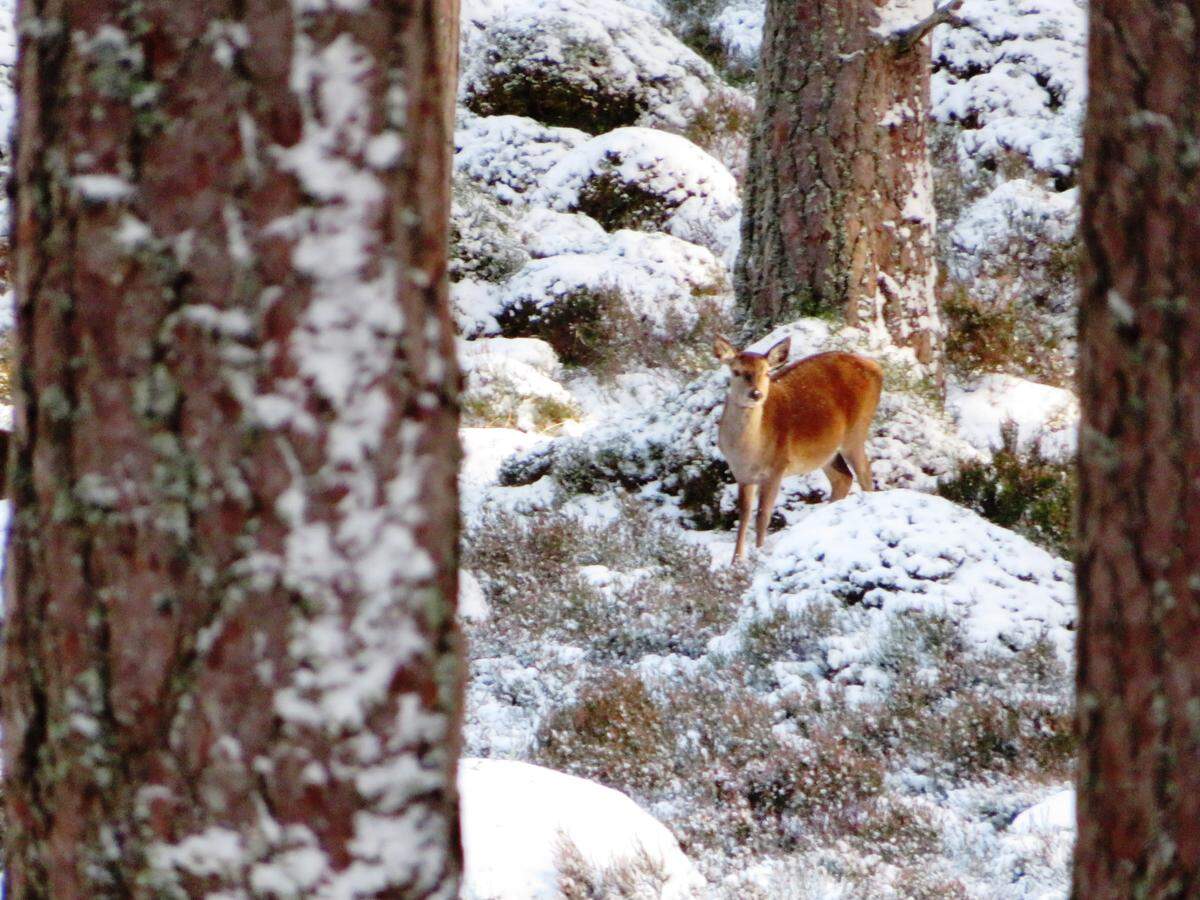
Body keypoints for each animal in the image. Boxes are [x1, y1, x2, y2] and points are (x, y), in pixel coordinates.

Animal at [710, 336, 883, 566]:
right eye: (737, 371)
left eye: (766, 372)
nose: (756, 393)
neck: (749, 452)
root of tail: (877, 367)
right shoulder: (742, 475)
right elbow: (744, 515)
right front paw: (735, 561)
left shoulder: (777, 468)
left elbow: (763, 515)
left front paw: (758, 555)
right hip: (827, 452)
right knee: (843, 478)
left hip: (856, 432)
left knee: (865, 473)